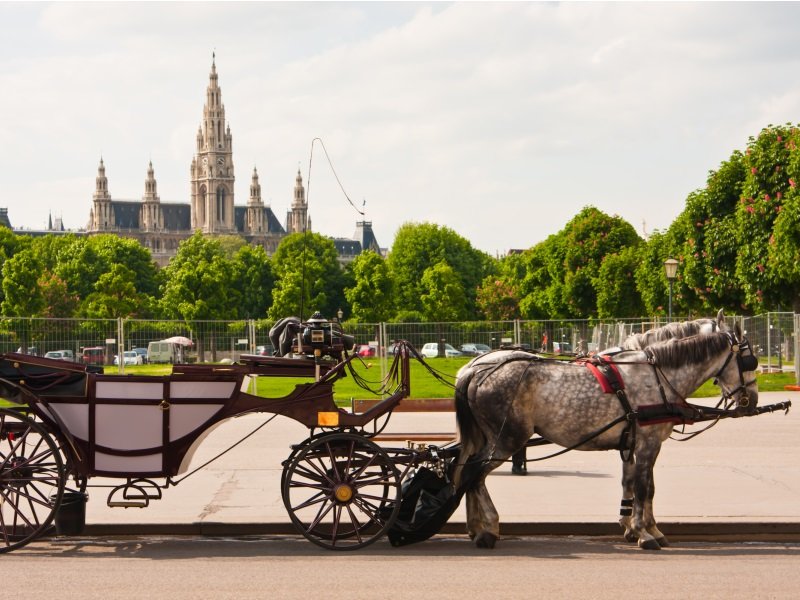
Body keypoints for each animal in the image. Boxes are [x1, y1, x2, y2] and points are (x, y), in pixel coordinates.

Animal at [454, 324, 760, 548]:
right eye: (749, 361)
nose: (753, 400)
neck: (658, 375)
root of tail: (475, 372)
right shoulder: (648, 443)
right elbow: (644, 488)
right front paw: (644, 533)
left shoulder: (632, 443)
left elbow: (635, 485)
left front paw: (639, 527)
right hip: (508, 438)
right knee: (474, 473)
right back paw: (487, 529)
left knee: (467, 471)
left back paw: (476, 527)